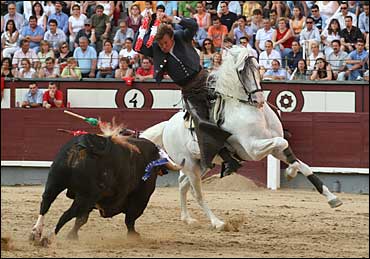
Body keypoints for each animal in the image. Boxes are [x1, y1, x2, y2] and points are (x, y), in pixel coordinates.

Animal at [141, 45, 342, 231]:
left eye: (258, 67)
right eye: (241, 71)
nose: (259, 99)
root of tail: (167, 126)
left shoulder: (274, 149)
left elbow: (302, 164)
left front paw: (332, 198)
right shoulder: (254, 149)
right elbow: (284, 143)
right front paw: (290, 173)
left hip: (201, 163)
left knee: (183, 184)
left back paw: (187, 218)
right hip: (190, 165)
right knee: (196, 193)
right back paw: (218, 223)